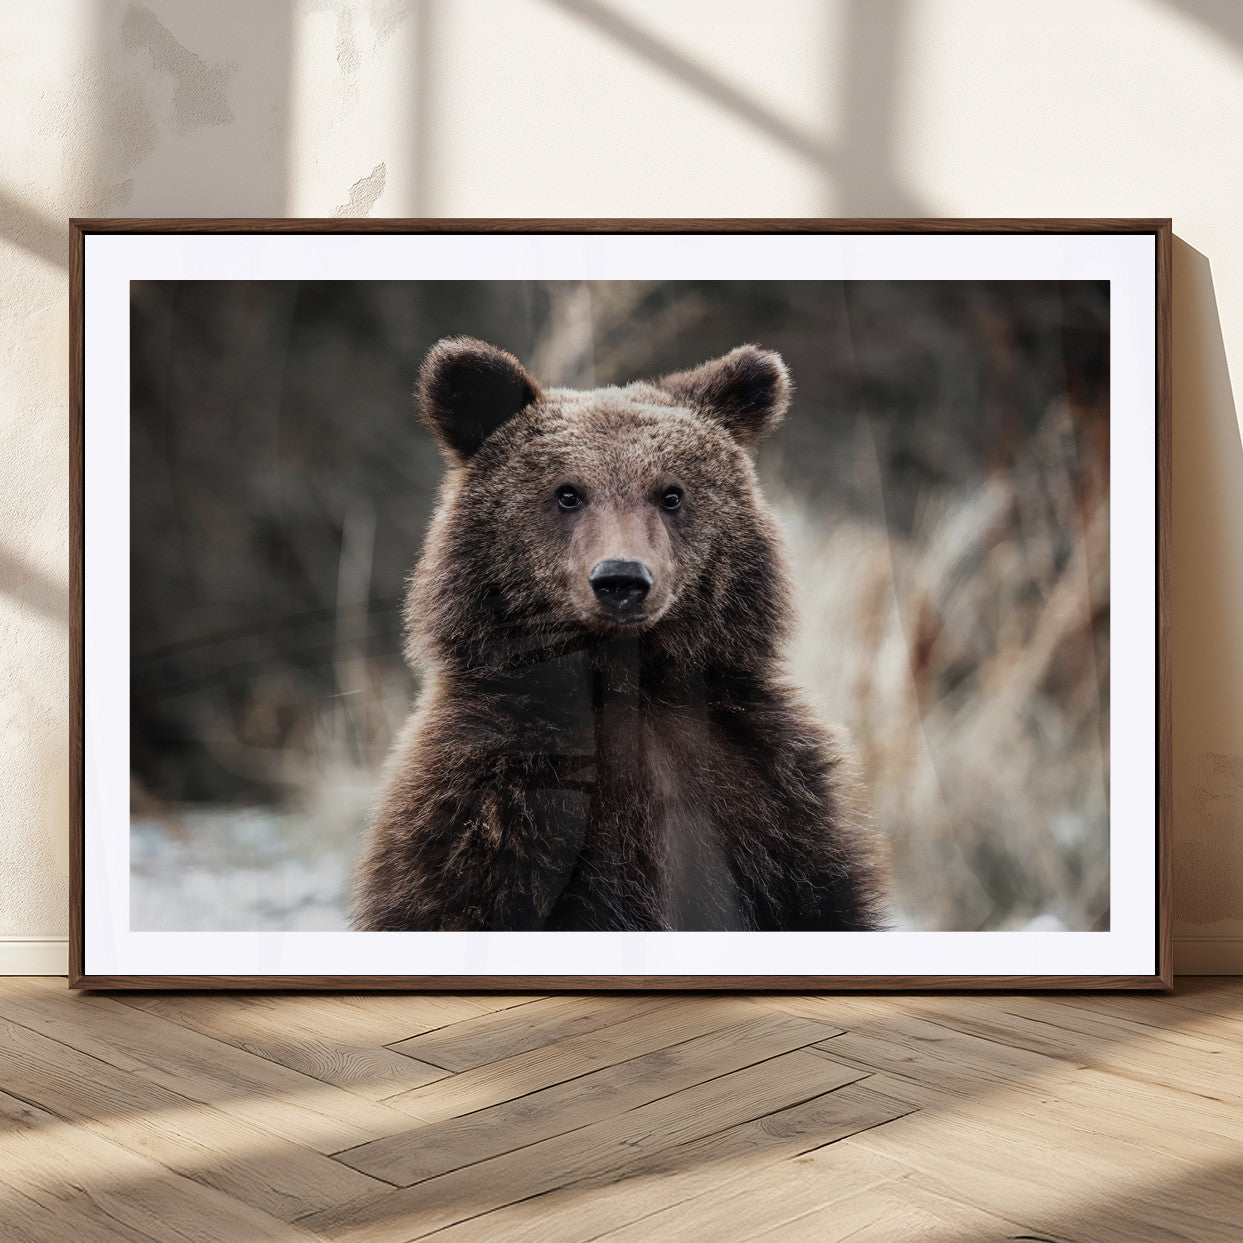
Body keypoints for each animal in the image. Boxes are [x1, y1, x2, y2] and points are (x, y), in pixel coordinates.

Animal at [350, 336, 889, 932]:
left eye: (671, 494)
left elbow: (817, 897)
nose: (621, 579)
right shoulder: (489, 808)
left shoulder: (770, 800)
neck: (623, 682)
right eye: (567, 493)